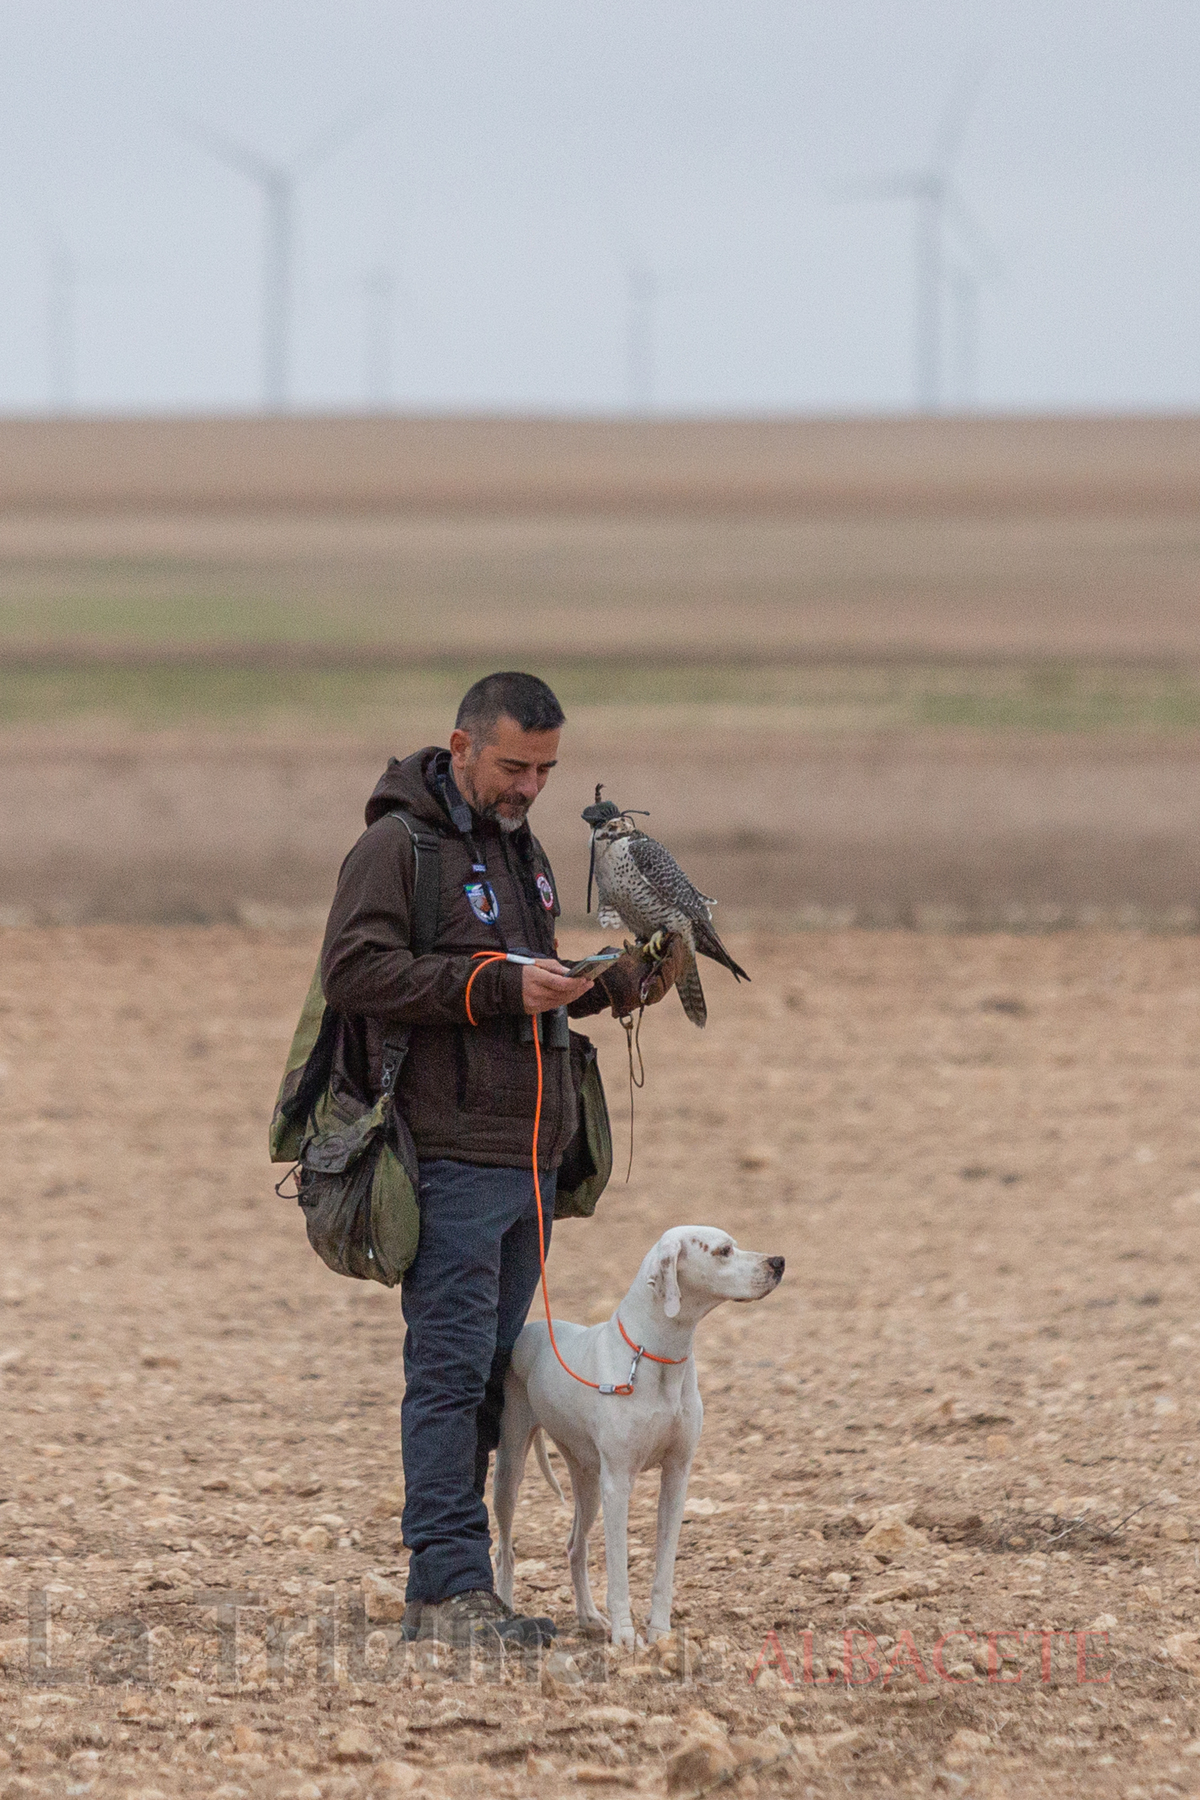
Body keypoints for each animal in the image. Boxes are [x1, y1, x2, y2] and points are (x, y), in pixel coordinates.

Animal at [492, 1224, 784, 1648]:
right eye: (723, 1251)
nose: (778, 1261)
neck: (655, 1356)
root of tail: (528, 1330)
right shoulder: (618, 1483)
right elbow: (618, 1570)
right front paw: (626, 1636)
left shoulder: (676, 1476)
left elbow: (664, 1567)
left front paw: (659, 1631)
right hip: (512, 1468)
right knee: (506, 1549)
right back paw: (508, 1607)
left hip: (587, 1481)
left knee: (575, 1547)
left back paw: (588, 1617)